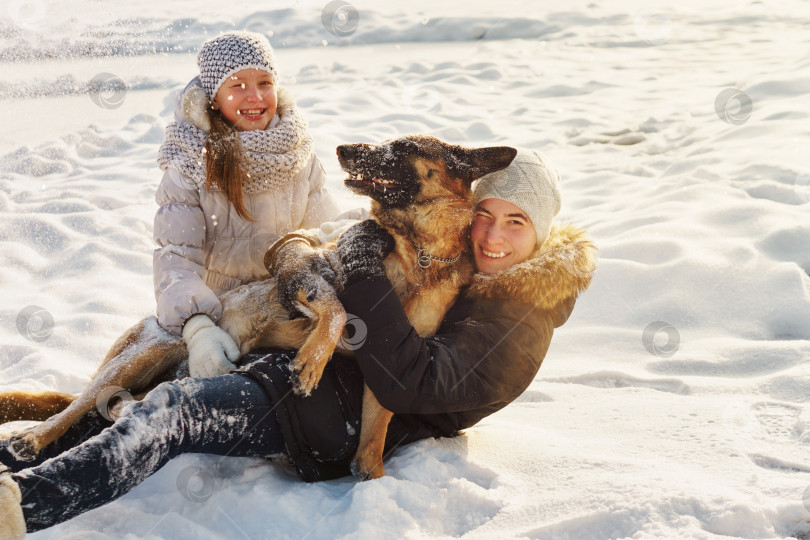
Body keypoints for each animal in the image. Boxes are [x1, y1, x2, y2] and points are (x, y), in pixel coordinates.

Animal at [0, 136, 516, 480]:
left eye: (402, 145)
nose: (342, 147)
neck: (417, 252)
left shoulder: (391, 364)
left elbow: (375, 430)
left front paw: (371, 480)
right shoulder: (307, 271)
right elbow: (333, 311)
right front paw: (310, 363)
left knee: (117, 407)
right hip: (143, 354)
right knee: (80, 405)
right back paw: (31, 438)